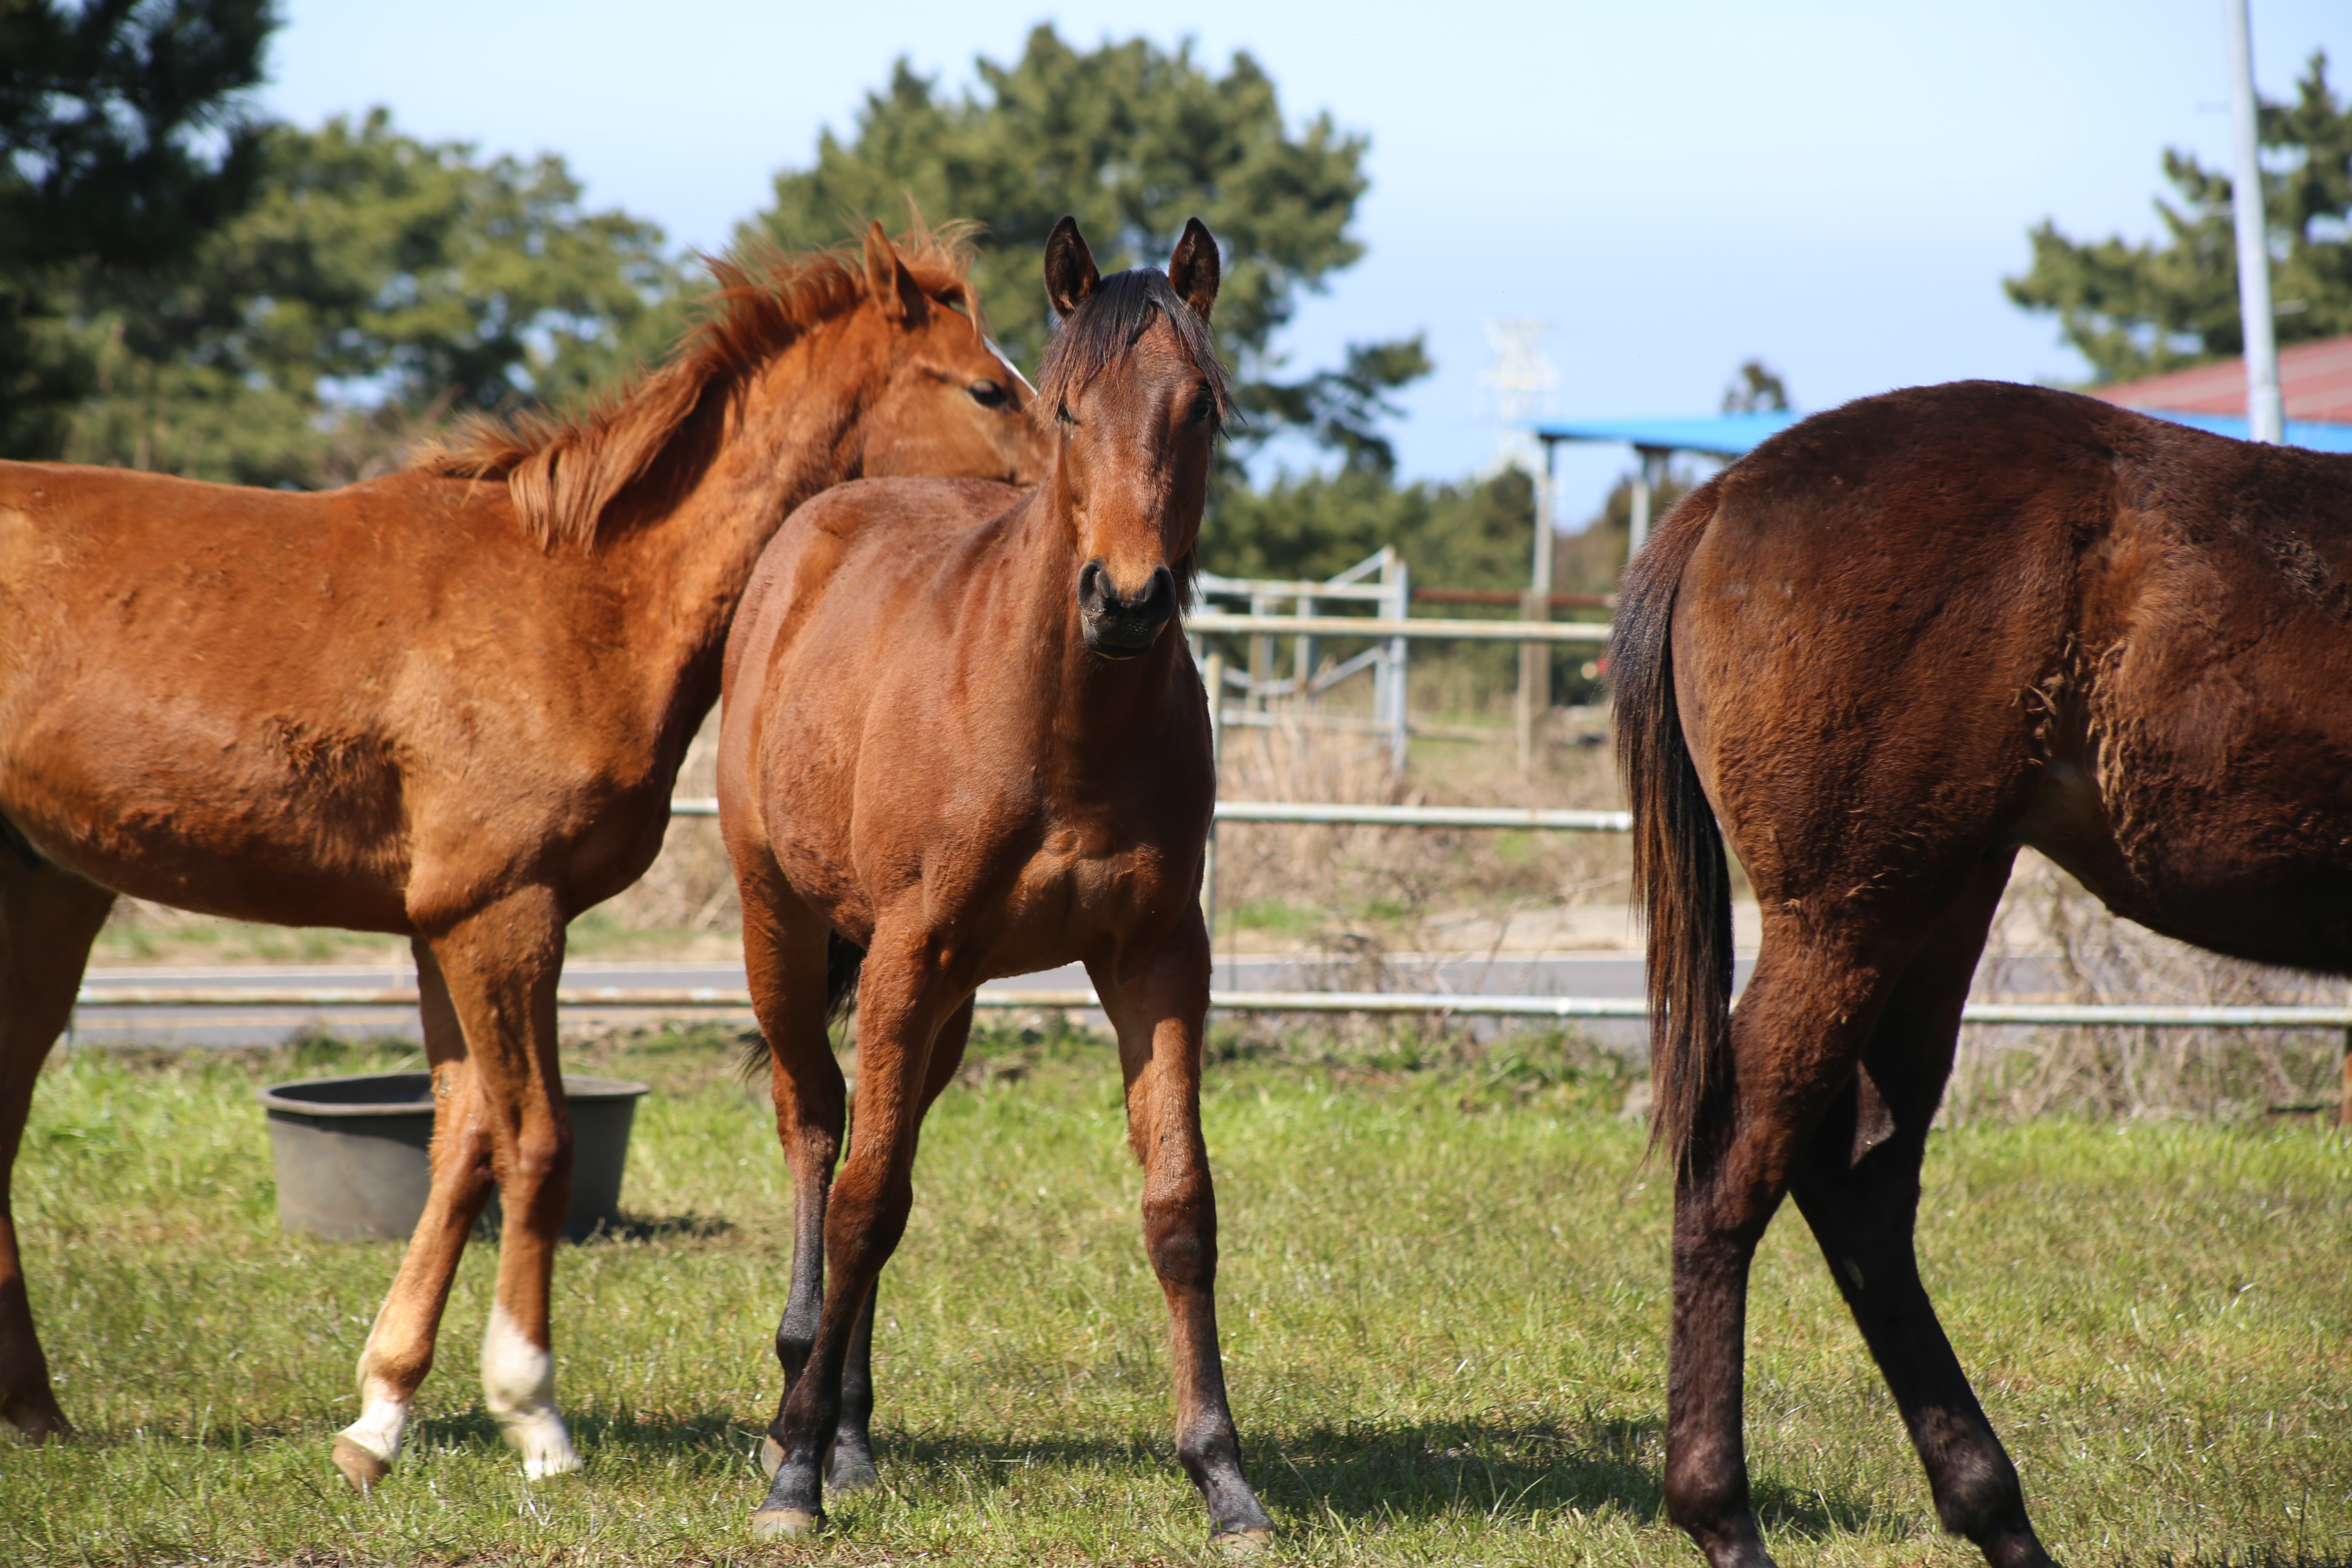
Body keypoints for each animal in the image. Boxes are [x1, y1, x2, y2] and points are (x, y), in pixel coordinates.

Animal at [0, 223, 1049, 1486]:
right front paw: (533, 1413)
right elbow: (537, 1144)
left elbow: (465, 1144)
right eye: (987, 387)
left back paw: (35, 1410)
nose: (1093, 517)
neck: (582, 594)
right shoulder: (500, 912)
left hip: (46, 892)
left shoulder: (447, 924)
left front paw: (380, 1415)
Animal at [719, 215, 1279, 1551]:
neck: (1061, 724)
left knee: (887, 1146)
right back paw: (797, 1399)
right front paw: (792, 1473)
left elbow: (1179, 1206)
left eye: (1199, 409)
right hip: (787, 929)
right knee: (820, 1130)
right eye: (1067, 408)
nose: (1126, 599)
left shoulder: (1155, 957)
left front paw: (1222, 1473)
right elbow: (861, 1194)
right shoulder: (907, 951)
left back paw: (850, 1425)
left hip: (951, 994)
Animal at [1618, 376, 2352, 1568]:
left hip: (1937, 902)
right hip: (1846, 920)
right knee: (1736, 1165)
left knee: (1861, 1185)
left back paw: (1990, 1509)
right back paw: (1723, 1512)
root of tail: (1724, 496)